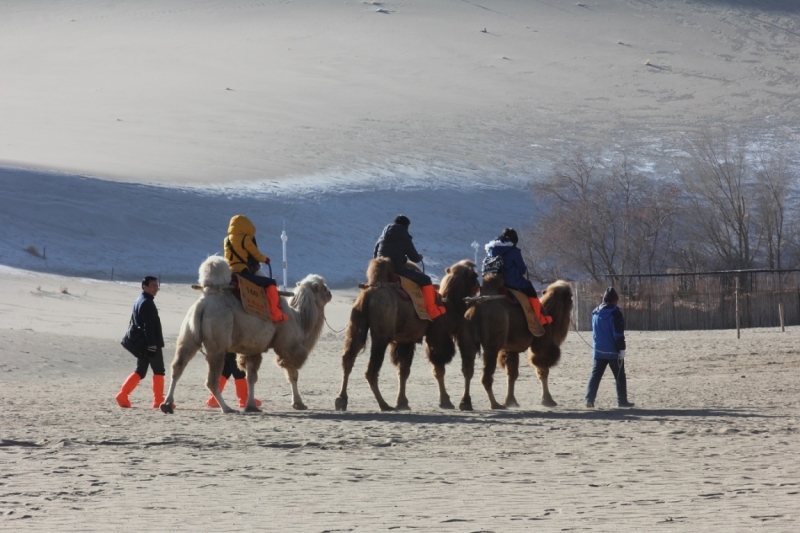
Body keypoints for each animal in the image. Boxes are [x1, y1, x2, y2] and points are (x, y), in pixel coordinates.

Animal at [162, 256, 332, 414]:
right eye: (323, 288)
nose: (330, 293)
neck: (299, 319)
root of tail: (204, 302)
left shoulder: (252, 347)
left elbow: (251, 377)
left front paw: (251, 406)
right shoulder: (287, 345)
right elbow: (292, 374)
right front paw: (299, 404)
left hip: (188, 336)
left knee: (177, 366)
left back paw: (167, 404)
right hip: (217, 343)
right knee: (211, 379)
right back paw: (227, 408)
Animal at [334, 258, 478, 412]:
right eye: (474, 276)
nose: (479, 286)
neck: (448, 306)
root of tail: (368, 295)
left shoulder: (406, 340)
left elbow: (403, 371)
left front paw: (402, 402)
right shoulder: (436, 334)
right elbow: (438, 369)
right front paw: (445, 401)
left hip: (357, 322)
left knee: (348, 358)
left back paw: (341, 400)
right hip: (381, 334)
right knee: (371, 370)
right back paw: (384, 405)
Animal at [456, 274, 576, 408]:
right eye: (570, 295)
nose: (573, 302)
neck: (550, 316)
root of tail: (477, 308)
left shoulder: (510, 349)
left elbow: (512, 374)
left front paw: (511, 401)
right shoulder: (542, 345)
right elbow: (542, 370)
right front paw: (548, 400)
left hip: (467, 335)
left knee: (468, 369)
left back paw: (465, 403)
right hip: (492, 342)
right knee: (486, 375)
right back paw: (495, 404)